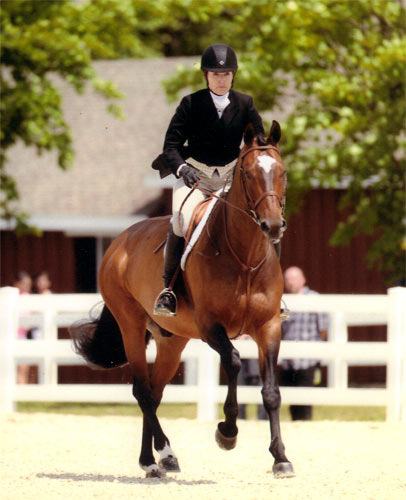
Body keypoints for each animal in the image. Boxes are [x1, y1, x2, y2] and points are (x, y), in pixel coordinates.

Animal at [71, 121, 294, 480]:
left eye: (282, 172)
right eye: (247, 174)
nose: (272, 225)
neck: (244, 258)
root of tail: (120, 241)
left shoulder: (269, 327)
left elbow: (271, 393)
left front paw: (281, 458)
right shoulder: (211, 327)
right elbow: (233, 362)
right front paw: (227, 433)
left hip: (172, 341)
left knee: (155, 392)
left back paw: (154, 459)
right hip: (131, 326)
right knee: (142, 390)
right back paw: (162, 456)